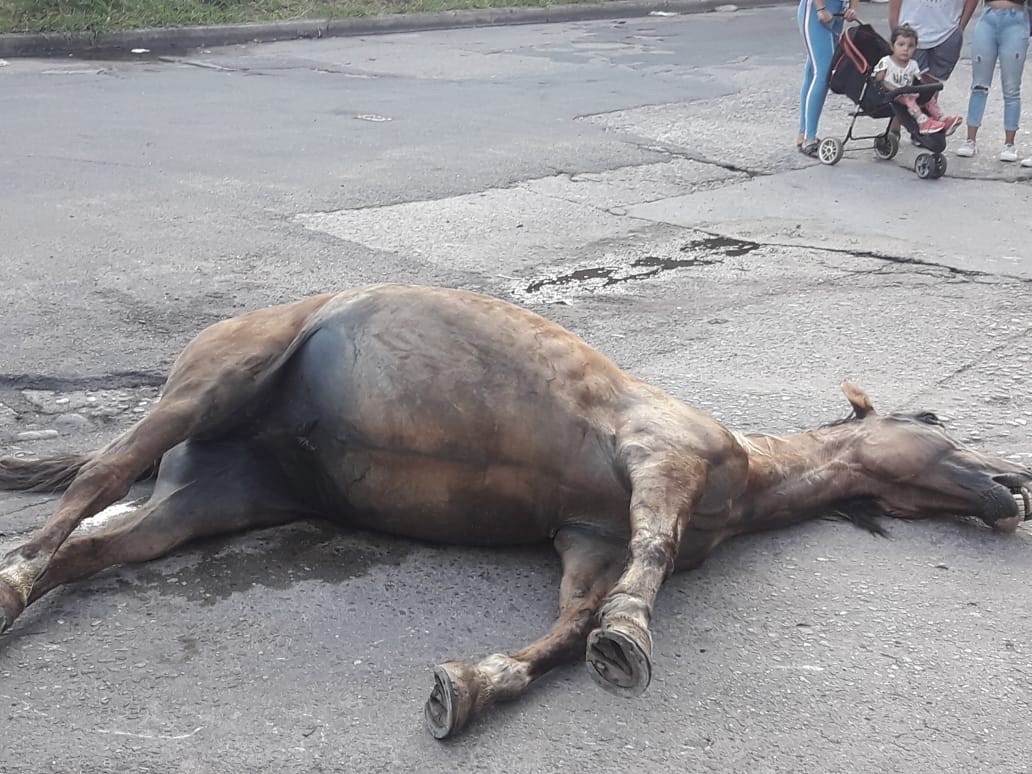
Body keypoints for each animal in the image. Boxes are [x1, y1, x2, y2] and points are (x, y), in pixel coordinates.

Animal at [0, 283, 1029, 739]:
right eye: (933, 422)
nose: (1015, 489)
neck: (744, 477)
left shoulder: (585, 541)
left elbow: (569, 626)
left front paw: (472, 685)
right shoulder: (658, 460)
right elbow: (649, 561)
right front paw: (630, 639)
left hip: (201, 504)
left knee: (93, 547)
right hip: (213, 385)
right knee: (93, 484)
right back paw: (10, 581)